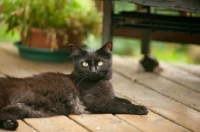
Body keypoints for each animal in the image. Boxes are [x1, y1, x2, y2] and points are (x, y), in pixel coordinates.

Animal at [0, 42, 147, 130]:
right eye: (85, 64)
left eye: (100, 63)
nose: (93, 71)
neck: (98, 82)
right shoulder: (95, 102)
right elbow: (118, 105)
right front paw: (140, 108)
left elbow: (117, 99)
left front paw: (126, 100)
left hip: (19, 108)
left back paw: (10, 124)